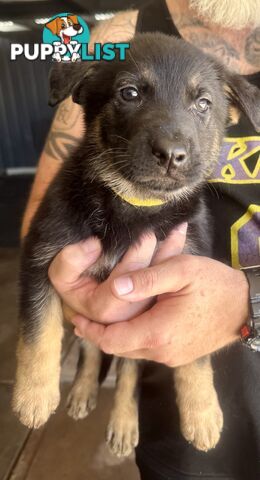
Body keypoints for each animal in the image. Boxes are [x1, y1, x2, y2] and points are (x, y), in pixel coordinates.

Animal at [12, 34, 260, 458]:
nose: (172, 155)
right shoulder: (41, 253)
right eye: (129, 93)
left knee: (126, 369)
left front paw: (203, 414)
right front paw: (33, 395)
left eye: (203, 103)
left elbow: (194, 358)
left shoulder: (187, 292)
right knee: (91, 347)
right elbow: (38, 328)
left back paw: (125, 423)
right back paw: (82, 390)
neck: (134, 203)